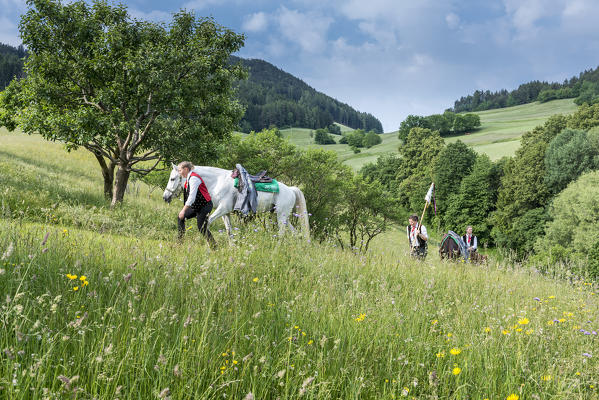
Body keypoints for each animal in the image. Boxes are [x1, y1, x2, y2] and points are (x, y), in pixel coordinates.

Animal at [162, 163, 312, 238]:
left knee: (281, 234)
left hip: (281, 215)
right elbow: (229, 231)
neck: (218, 182)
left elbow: (207, 223)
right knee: (295, 233)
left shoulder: (222, 209)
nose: (165, 197)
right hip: (282, 216)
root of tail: (291, 190)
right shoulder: (225, 213)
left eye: (173, 178)